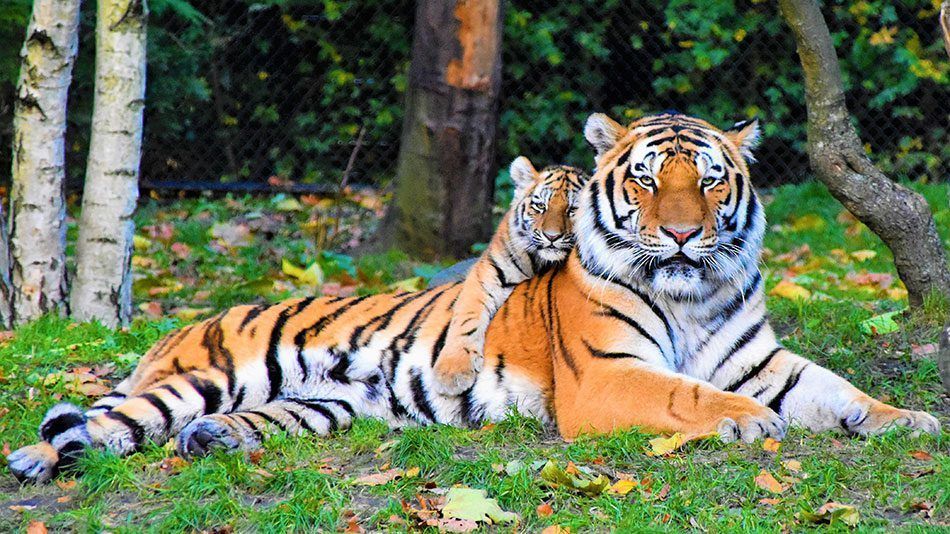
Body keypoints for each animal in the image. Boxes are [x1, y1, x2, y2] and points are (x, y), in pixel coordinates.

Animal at [431, 157, 589, 395]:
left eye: (573, 209)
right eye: (540, 206)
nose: (552, 237)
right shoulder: (487, 274)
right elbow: (467, 318)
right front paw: (452, 372)